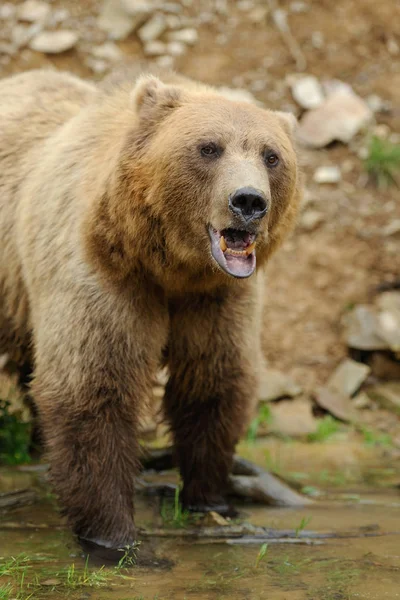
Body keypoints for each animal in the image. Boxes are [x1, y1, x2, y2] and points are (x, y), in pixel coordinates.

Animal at [0, 68, 302, 560]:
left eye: (271, 155)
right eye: (209, 147)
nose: (249, 201)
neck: (171, 269)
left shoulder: (218, 299)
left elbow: (213, 381)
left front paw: (209, 498)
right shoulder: (103, 276)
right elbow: (93, 387)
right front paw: (114, 536)